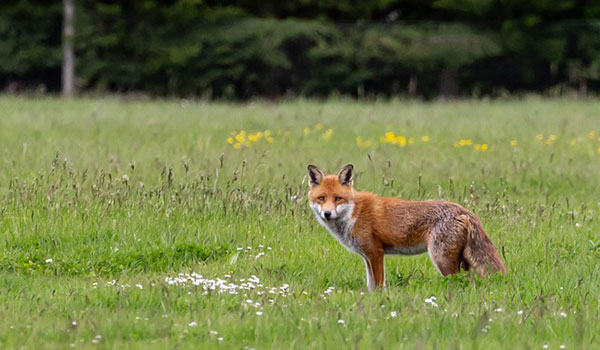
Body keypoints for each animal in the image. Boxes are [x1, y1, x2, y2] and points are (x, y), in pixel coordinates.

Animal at [308, 165, 504, 292]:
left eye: (338, 198)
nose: (327, 214)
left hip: (443, 260)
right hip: (462, 262)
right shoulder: (367, 256)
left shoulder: (375, 253)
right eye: (321, 198)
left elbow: (379, 286)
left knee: (459, 283)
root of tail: (464, 210)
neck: (353, 213)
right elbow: (370, 286)